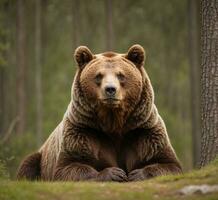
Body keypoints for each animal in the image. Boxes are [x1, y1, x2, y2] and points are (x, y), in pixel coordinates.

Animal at [17, 44, 181, 182]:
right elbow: (68, 166)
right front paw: (114, 173)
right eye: (98, 76)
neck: (113, 121)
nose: (110, 89)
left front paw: (137, 173)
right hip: (41, 156)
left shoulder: (142, 130)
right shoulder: (83, 130)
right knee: (28, 163)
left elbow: (168, 163)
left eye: (121, 75)